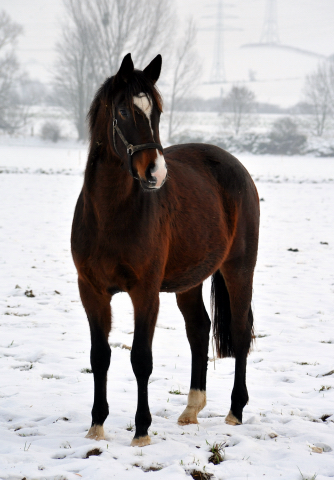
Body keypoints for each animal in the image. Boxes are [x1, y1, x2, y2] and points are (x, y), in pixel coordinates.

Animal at [70, 54, 260, 448]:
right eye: (123, 111)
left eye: (156, 111)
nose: (155, 173)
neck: (110, 214)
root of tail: (235, 166)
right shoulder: (91, 291)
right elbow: (100, 356)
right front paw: (97, 425)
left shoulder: (145, 293)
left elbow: (141, 358)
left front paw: (141, 431)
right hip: (190, 281)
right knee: (199, 329)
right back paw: (191, 409)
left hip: (239, 269)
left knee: (238, 332)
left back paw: (236, 410)